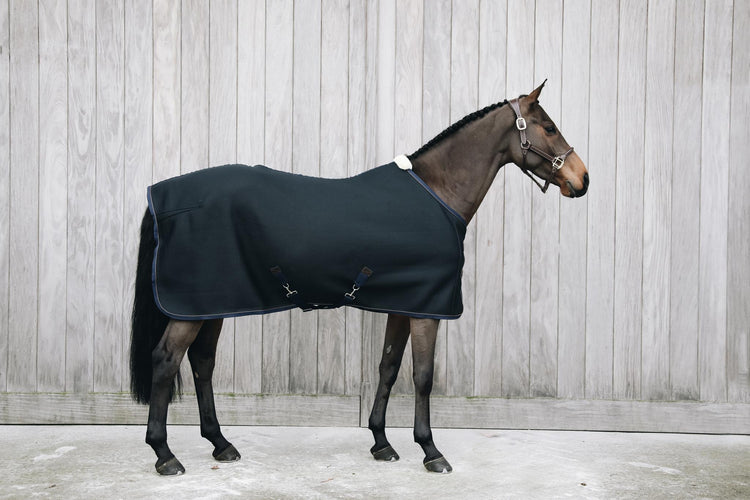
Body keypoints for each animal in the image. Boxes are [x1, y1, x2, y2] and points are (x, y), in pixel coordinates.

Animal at [129, 81, 589, 476]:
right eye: (549, 127)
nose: (582, 179)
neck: (437, 194)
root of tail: (161, 197)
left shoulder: (405, 304)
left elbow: (388, 367)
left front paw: (382, 443)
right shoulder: (427, 311)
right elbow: (423, 377)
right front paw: (431, 451)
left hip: (214, 304)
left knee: (202, 362)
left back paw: (220, 444)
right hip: (193, 309)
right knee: (166, 360)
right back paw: (165, 455)